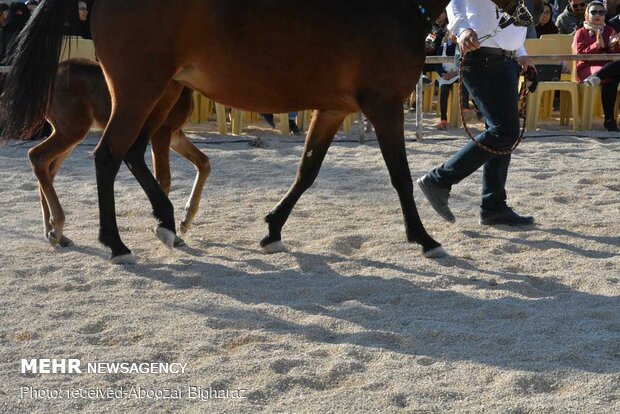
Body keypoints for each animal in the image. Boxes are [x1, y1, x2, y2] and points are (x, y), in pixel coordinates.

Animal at [29, 58, 211, 252]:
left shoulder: (176, 136)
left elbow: (203, 163)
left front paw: (185, 221)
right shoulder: (161, 134)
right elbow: (164, 178)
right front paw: (168, 231)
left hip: (68, 133)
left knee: (48, 169)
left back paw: (55, 234)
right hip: (72, 130)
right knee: (37, 156)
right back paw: (56, 228)